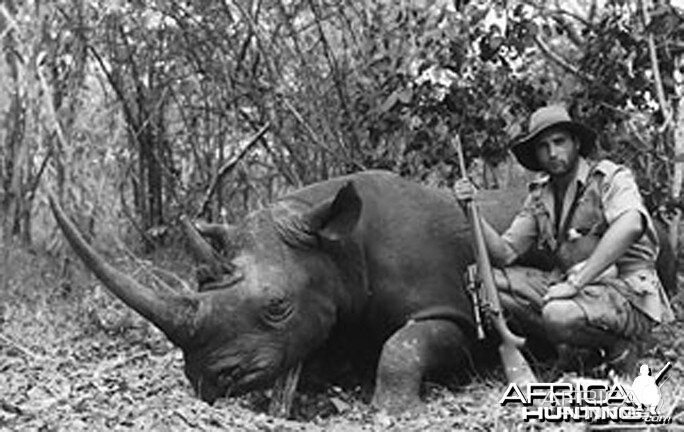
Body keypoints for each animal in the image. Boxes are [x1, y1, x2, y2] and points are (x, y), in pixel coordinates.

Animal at [49, 169, 680, 412]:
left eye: (277, 308)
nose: (211, 381)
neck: (331, 241)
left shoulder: (452, 310)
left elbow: (407, 343)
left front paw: (388, 408)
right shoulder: (334, 311)